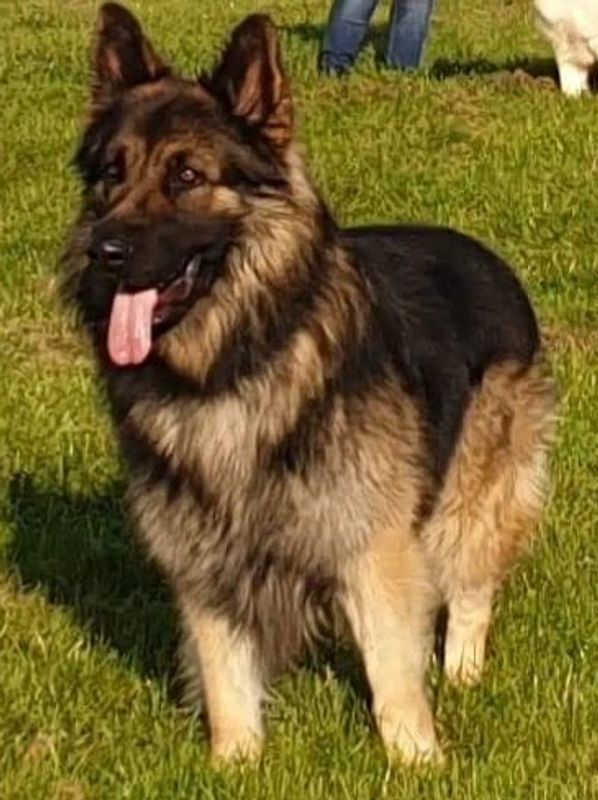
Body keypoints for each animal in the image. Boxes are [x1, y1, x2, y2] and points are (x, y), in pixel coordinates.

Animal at [63, 2, 556, 765]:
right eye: (112, 174)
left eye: (186, 175)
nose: (103, 252)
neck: (239, 361)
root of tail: (487, 256)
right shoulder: (202, 560)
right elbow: (225, 679)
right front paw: (234, 765)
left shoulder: (373, 544)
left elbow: (393, 672)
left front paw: (418, 763)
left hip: (471, 494)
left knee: (472, 581)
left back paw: (465, 674)